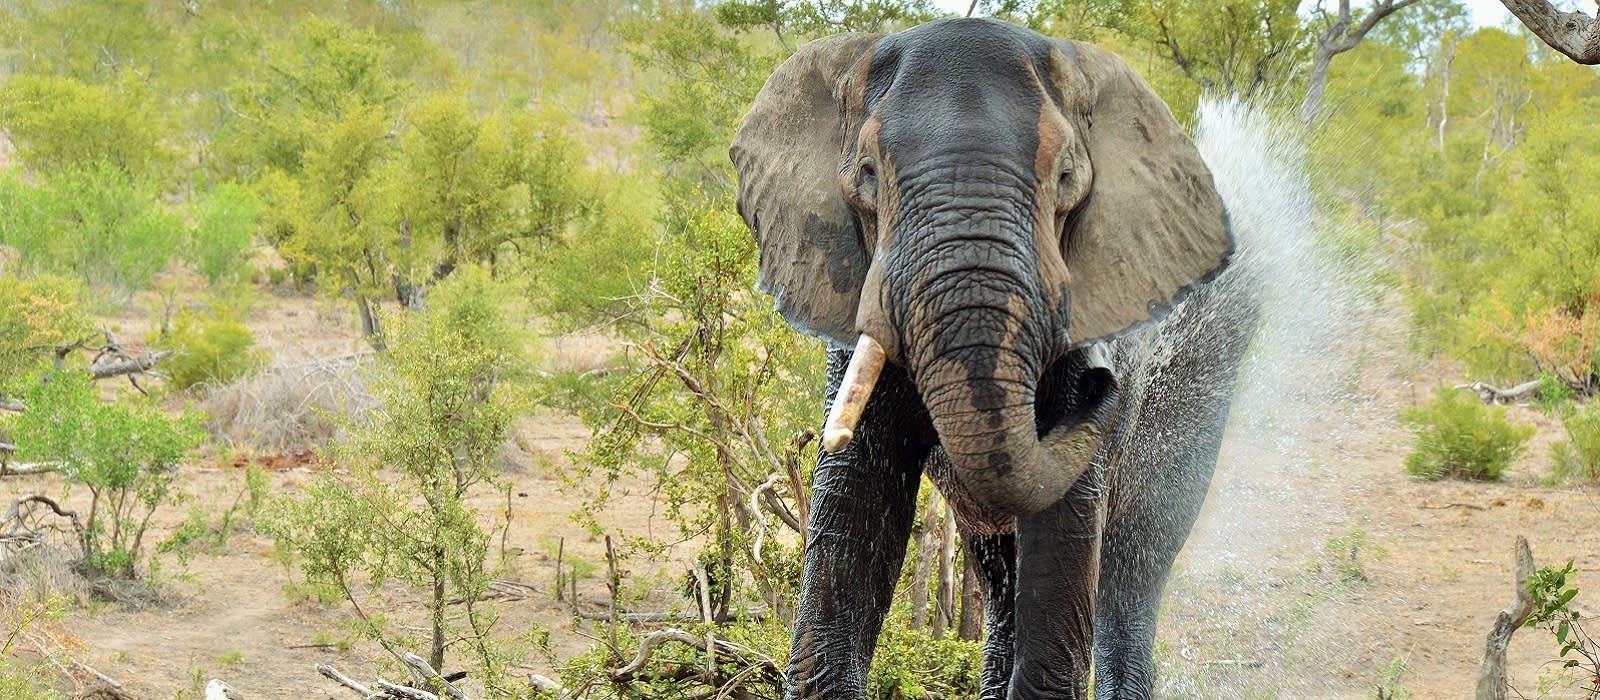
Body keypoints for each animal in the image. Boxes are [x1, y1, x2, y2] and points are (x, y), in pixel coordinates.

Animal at [730, 17, 1259, 700]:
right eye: (869, 174)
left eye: (1066, 179)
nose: (1102, 378)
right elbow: (855, 502)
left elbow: (1065, 527)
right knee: (1002, 570)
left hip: (1203, 378)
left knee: (1131, 568)